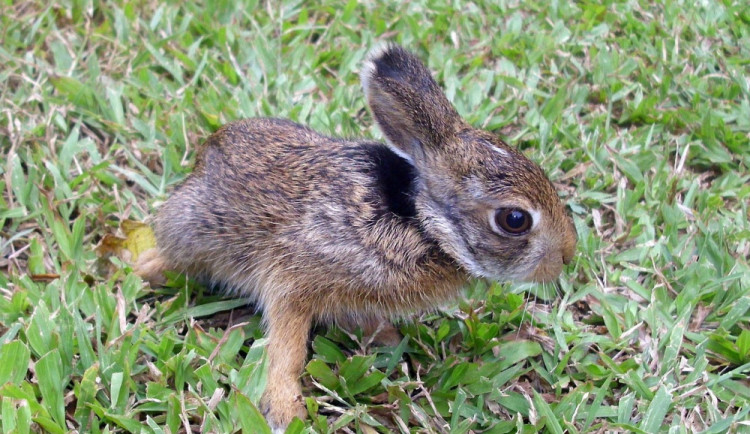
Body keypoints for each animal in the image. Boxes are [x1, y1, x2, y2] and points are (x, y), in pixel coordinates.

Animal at [138, 45, 580, 430]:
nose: (567, 254)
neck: (423, 223)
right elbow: (287, 348)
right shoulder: (293, 278)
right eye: (514, 219)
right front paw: (285, 411)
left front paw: (388, 340)